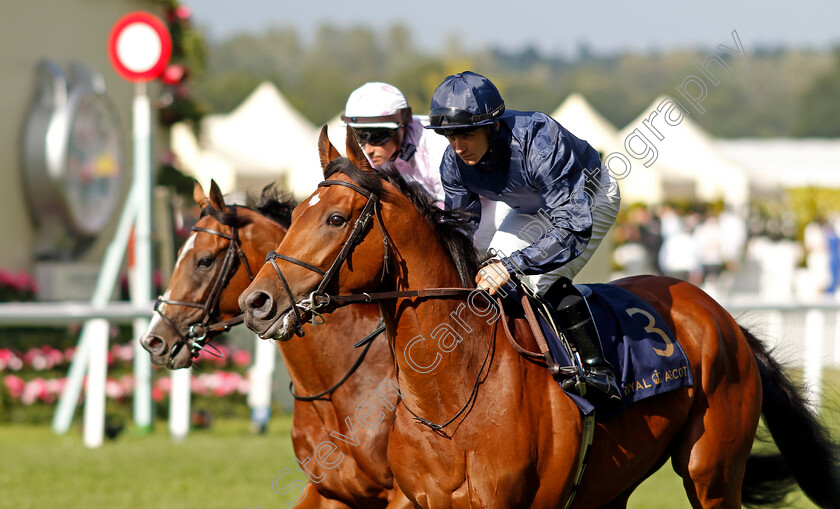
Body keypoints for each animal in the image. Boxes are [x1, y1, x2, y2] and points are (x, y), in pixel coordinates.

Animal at [236, 124, 840, 508]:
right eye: (296, 214)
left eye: (336, 219)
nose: (257, 302)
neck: (449, 397)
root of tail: (723, 317)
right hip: (612, 485)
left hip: (712, 472)